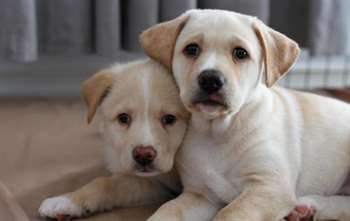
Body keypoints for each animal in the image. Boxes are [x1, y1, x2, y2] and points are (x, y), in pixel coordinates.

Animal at [38, 59, 189, 219]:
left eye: (169, 119)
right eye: (123, 118)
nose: (143, 155)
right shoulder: (157, 185)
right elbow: (104, 183)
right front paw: (67, 200)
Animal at [141, 8, 350, 221]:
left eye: (240, 53)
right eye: (192, 49)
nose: (210, 80)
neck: (217, 131)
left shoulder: (269, 186)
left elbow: (229, 214)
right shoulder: (201, 194)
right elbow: (169, 208)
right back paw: (307, 208)